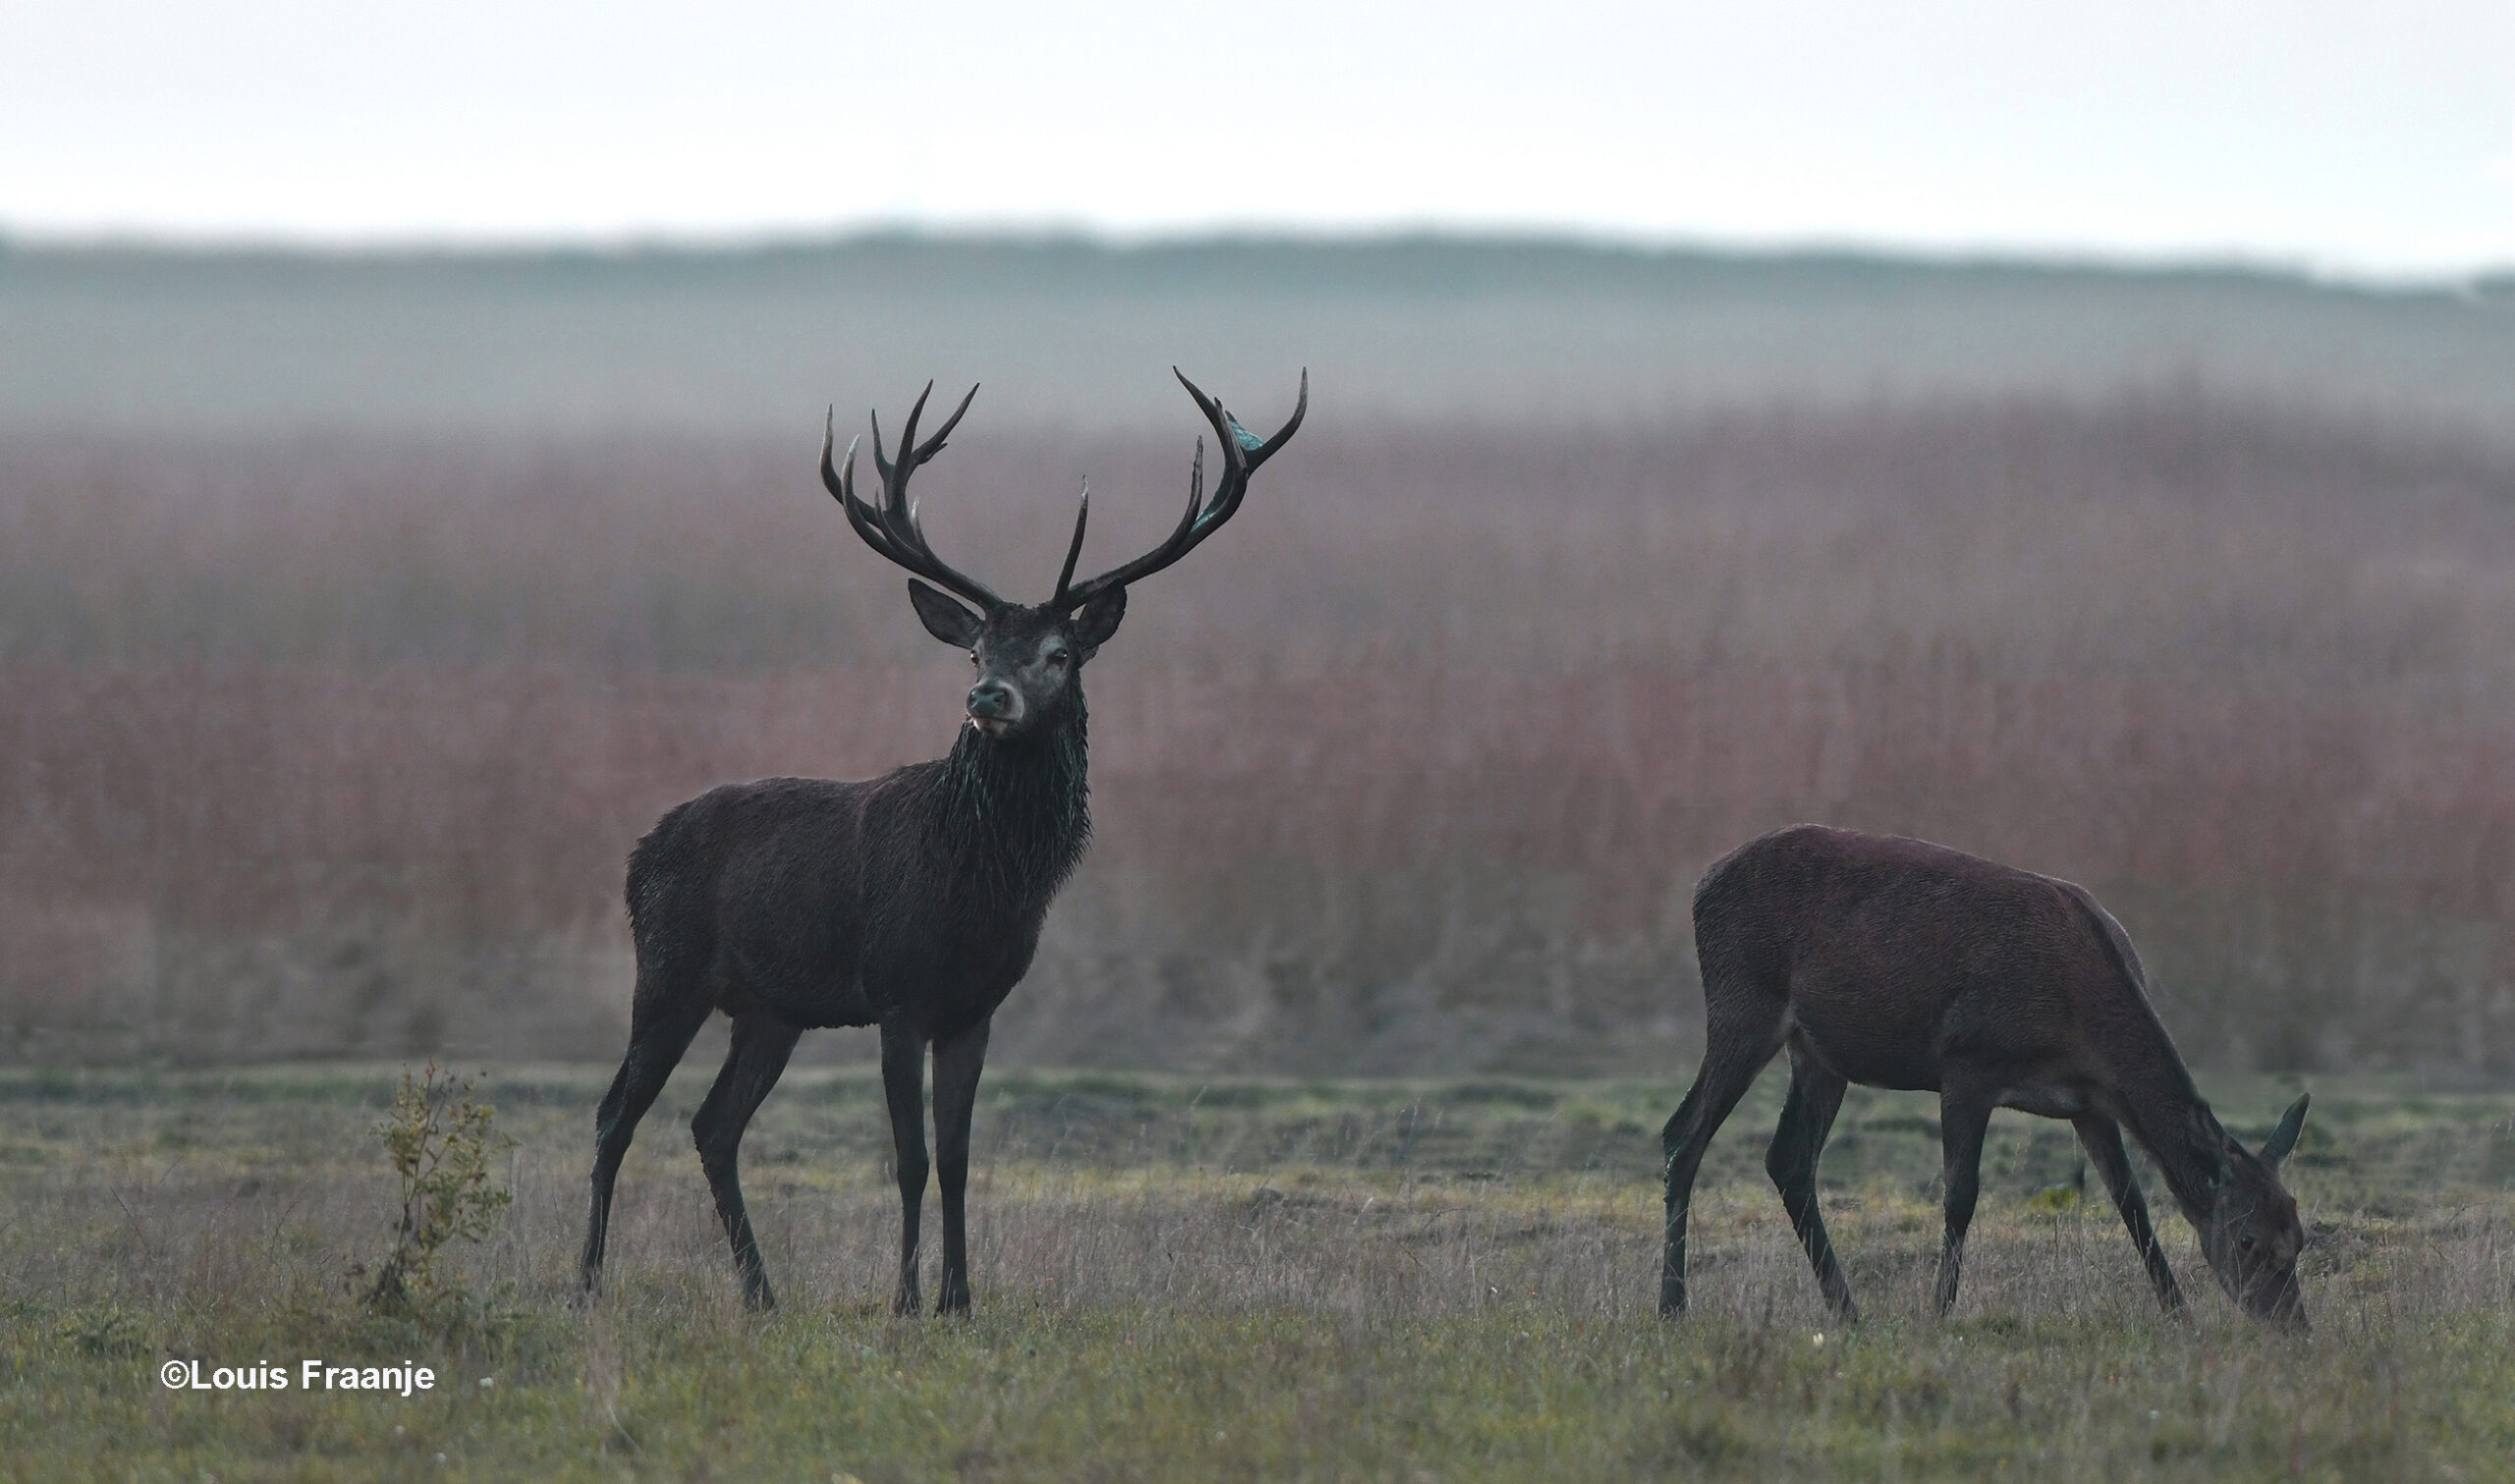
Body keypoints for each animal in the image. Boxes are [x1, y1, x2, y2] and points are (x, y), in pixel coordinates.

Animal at [578, 369, 1308, 1317]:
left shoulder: (975, 1007)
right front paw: (904, 1299)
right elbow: (911, 1157)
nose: (988, 698)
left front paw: (961, 1300)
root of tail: (639, 850)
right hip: (668, 969)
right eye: (975, 650)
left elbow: (959, 1158)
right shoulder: (898, 993)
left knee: (712, 1124)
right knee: (615, 1113)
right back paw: (587, 1282)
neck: (979, 890)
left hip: (770, 1009)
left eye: (1061, 651)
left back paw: (763, 1295)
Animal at [1659, 830, 2303, 1328]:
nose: (2291, 1326)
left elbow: (2132, 1202)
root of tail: (1700, 885)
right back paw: (1672, 1307)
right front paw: (1939, 1312)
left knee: (1788, 1158)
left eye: (2299, 1236)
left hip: (1819, 1053)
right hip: (1742, 1003)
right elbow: (1961, 1195)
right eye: (2247, 1240)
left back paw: (1847, 1311)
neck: (2077, 1019)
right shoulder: (1967, 1062)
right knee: (1683, 1132)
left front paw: (2179, 1314)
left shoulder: (2090, 1102)